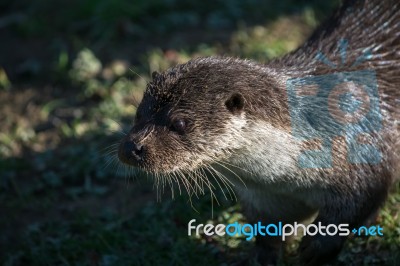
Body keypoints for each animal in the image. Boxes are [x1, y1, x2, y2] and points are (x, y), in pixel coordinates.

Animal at [117, 0, 398, 264]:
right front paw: (261, 256)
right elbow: (267, 231)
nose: (132, 148)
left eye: (180, 123)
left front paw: (316, 247)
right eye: (139, 113)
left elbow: (360, 201)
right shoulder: (266, 198)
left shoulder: (362, 151)